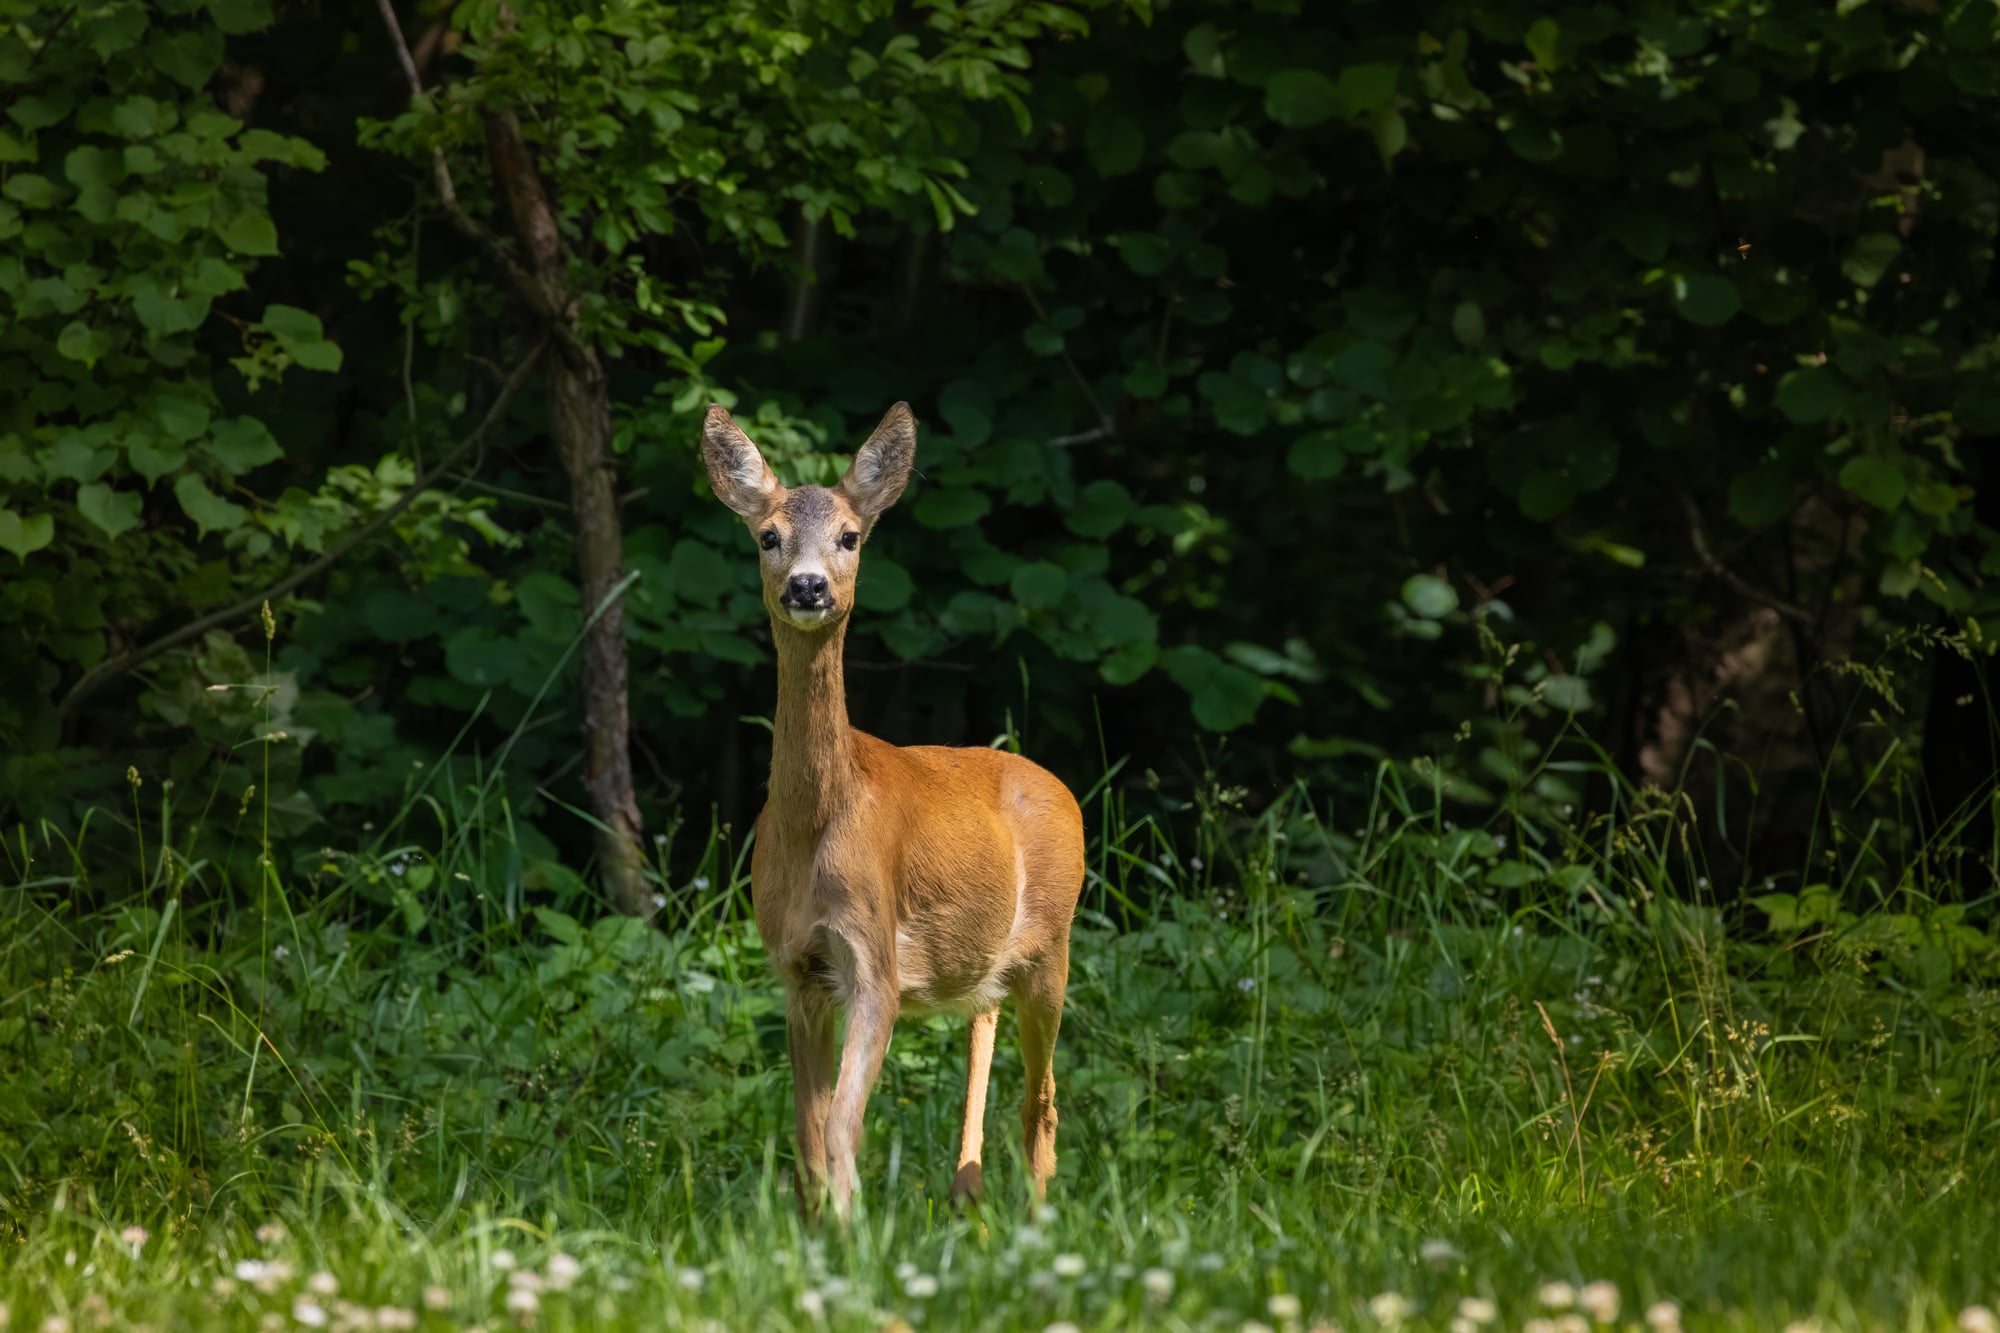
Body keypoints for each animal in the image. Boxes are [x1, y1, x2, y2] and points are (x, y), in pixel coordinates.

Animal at [698, 401, 1086, 1223]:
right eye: (767, 535)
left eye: (850, 535)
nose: (809, 587)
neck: (816, 825)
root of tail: (1060, 785)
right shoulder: (798, 968)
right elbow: (807, 1131)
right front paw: (815, 1229)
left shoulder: (873, 957)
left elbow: (843, 1123)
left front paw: (852, 1232)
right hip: (987, 960)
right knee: (985, 1021)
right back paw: (967, 1193)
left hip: (1054, 941)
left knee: (1042, 1099)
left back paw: (1035, 1217)